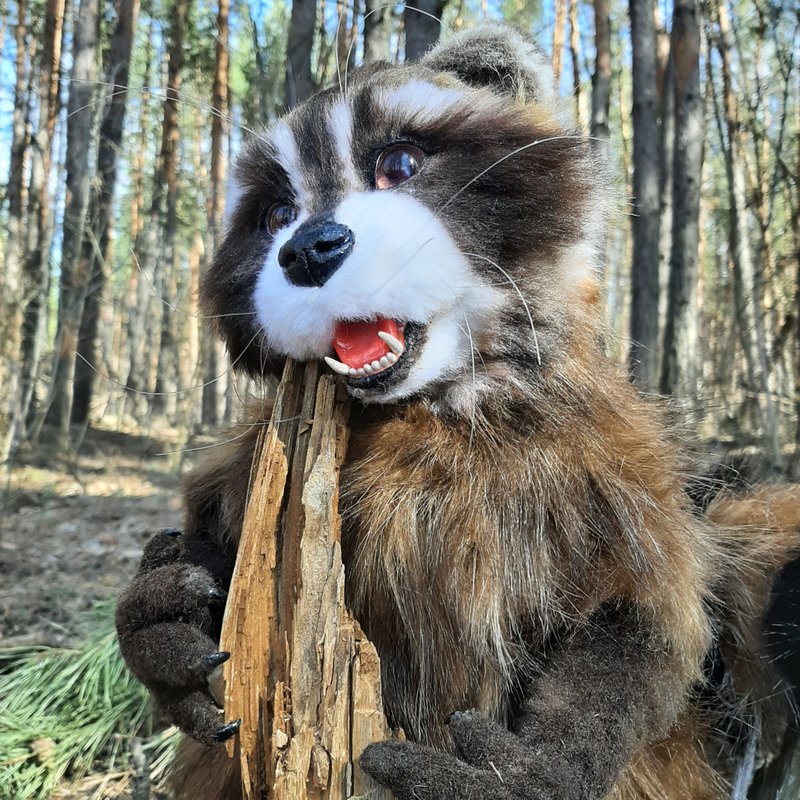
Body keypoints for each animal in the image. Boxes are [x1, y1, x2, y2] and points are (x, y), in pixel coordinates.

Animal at [115, 25, 800, 800]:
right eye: (277, 215)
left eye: (399, 163)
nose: (310, 247)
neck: (430, 404)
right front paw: (163, 612)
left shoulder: (606, 468)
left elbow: (635, 627)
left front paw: (534, 769)